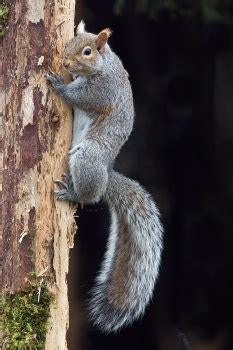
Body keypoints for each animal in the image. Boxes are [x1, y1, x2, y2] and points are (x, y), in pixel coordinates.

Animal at [46, 20, 164, 332]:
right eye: (70, 42)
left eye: (87, 51)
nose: (65, 62)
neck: (104, 64)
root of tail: (107, 175)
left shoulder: (103, 90)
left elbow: (82, 97)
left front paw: (60, 84)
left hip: (88, 156)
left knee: (90, 196)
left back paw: (72, 192)